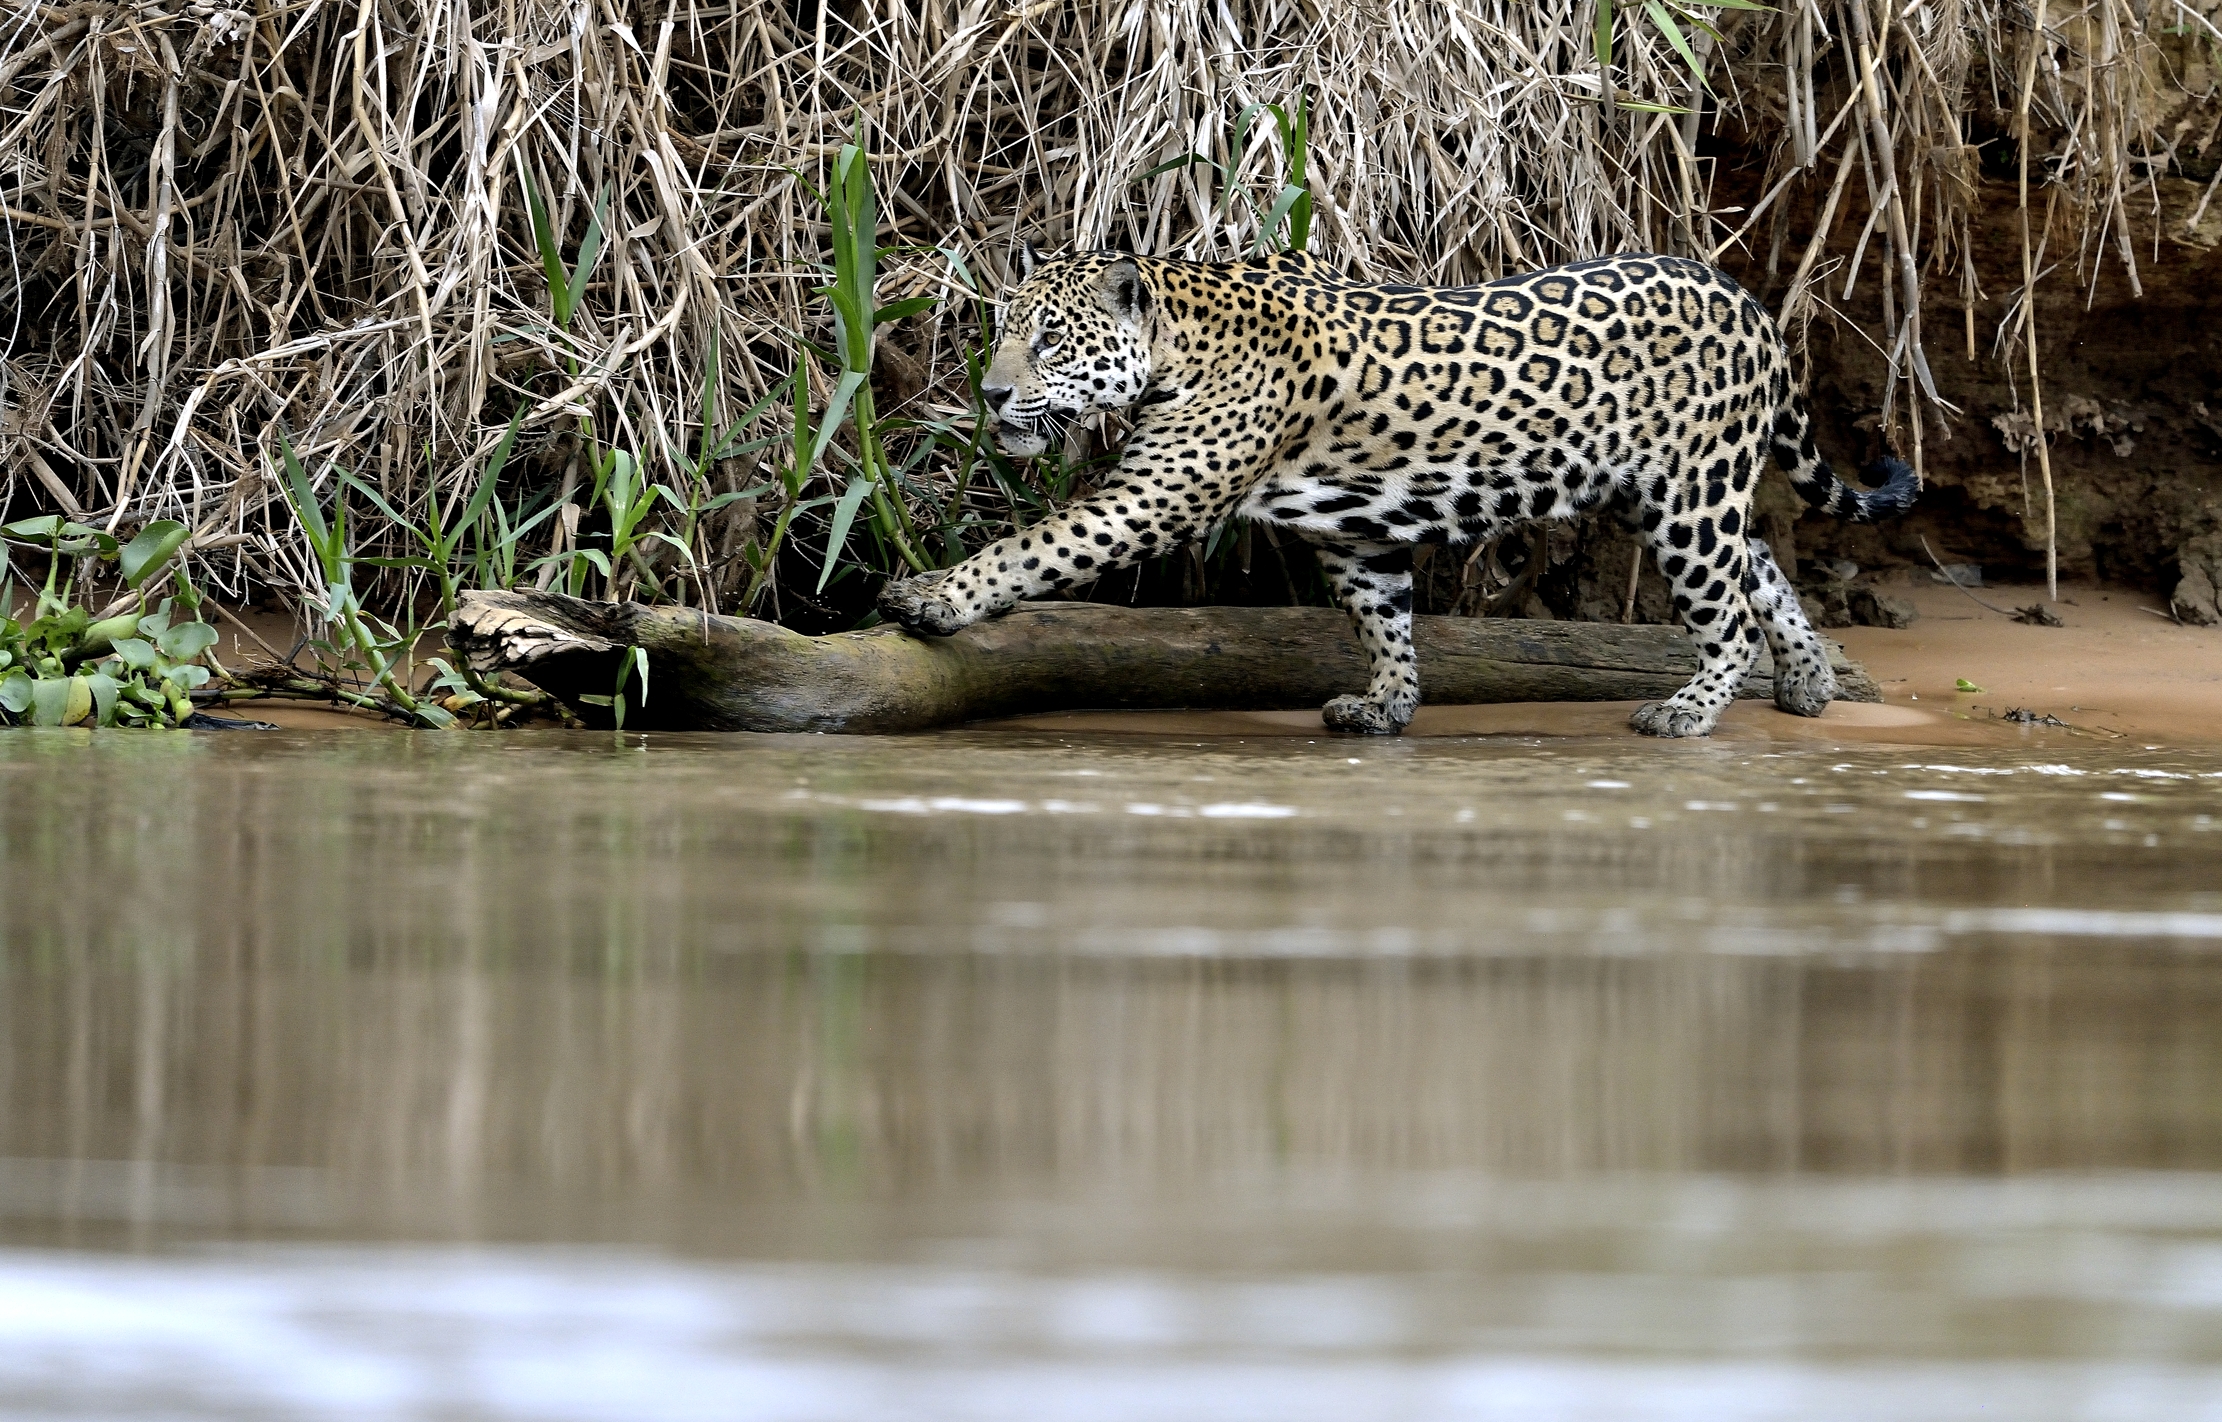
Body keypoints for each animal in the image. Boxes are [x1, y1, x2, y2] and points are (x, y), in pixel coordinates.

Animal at [877, 246, 1918, 737]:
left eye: (1050, 340)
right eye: (1004, 331)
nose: (991, 393)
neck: (1177, 339)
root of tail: (1748, 300)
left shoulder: (1157, 493)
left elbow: (1034, 547)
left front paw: (932, 597)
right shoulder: (1352, 529)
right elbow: (1382, 617)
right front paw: (1387, 703)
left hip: (1687, 493)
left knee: (1727, 606)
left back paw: (1691, 710)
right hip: (1656, 486)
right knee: (1760, 563)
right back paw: (1809, 679)